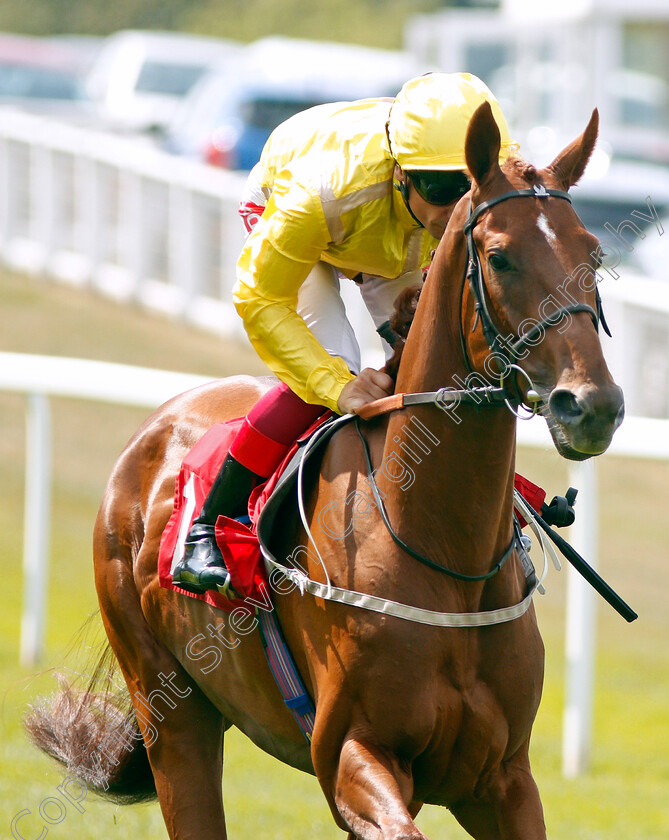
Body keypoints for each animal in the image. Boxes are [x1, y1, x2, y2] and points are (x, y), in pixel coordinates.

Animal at [26, 100, 620, 840]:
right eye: (500, 256)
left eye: (593, 254)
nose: (590, 404)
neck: (438, 546)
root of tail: (156, 428)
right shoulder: (352, 755)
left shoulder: (503, 779)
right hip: (170, 712)